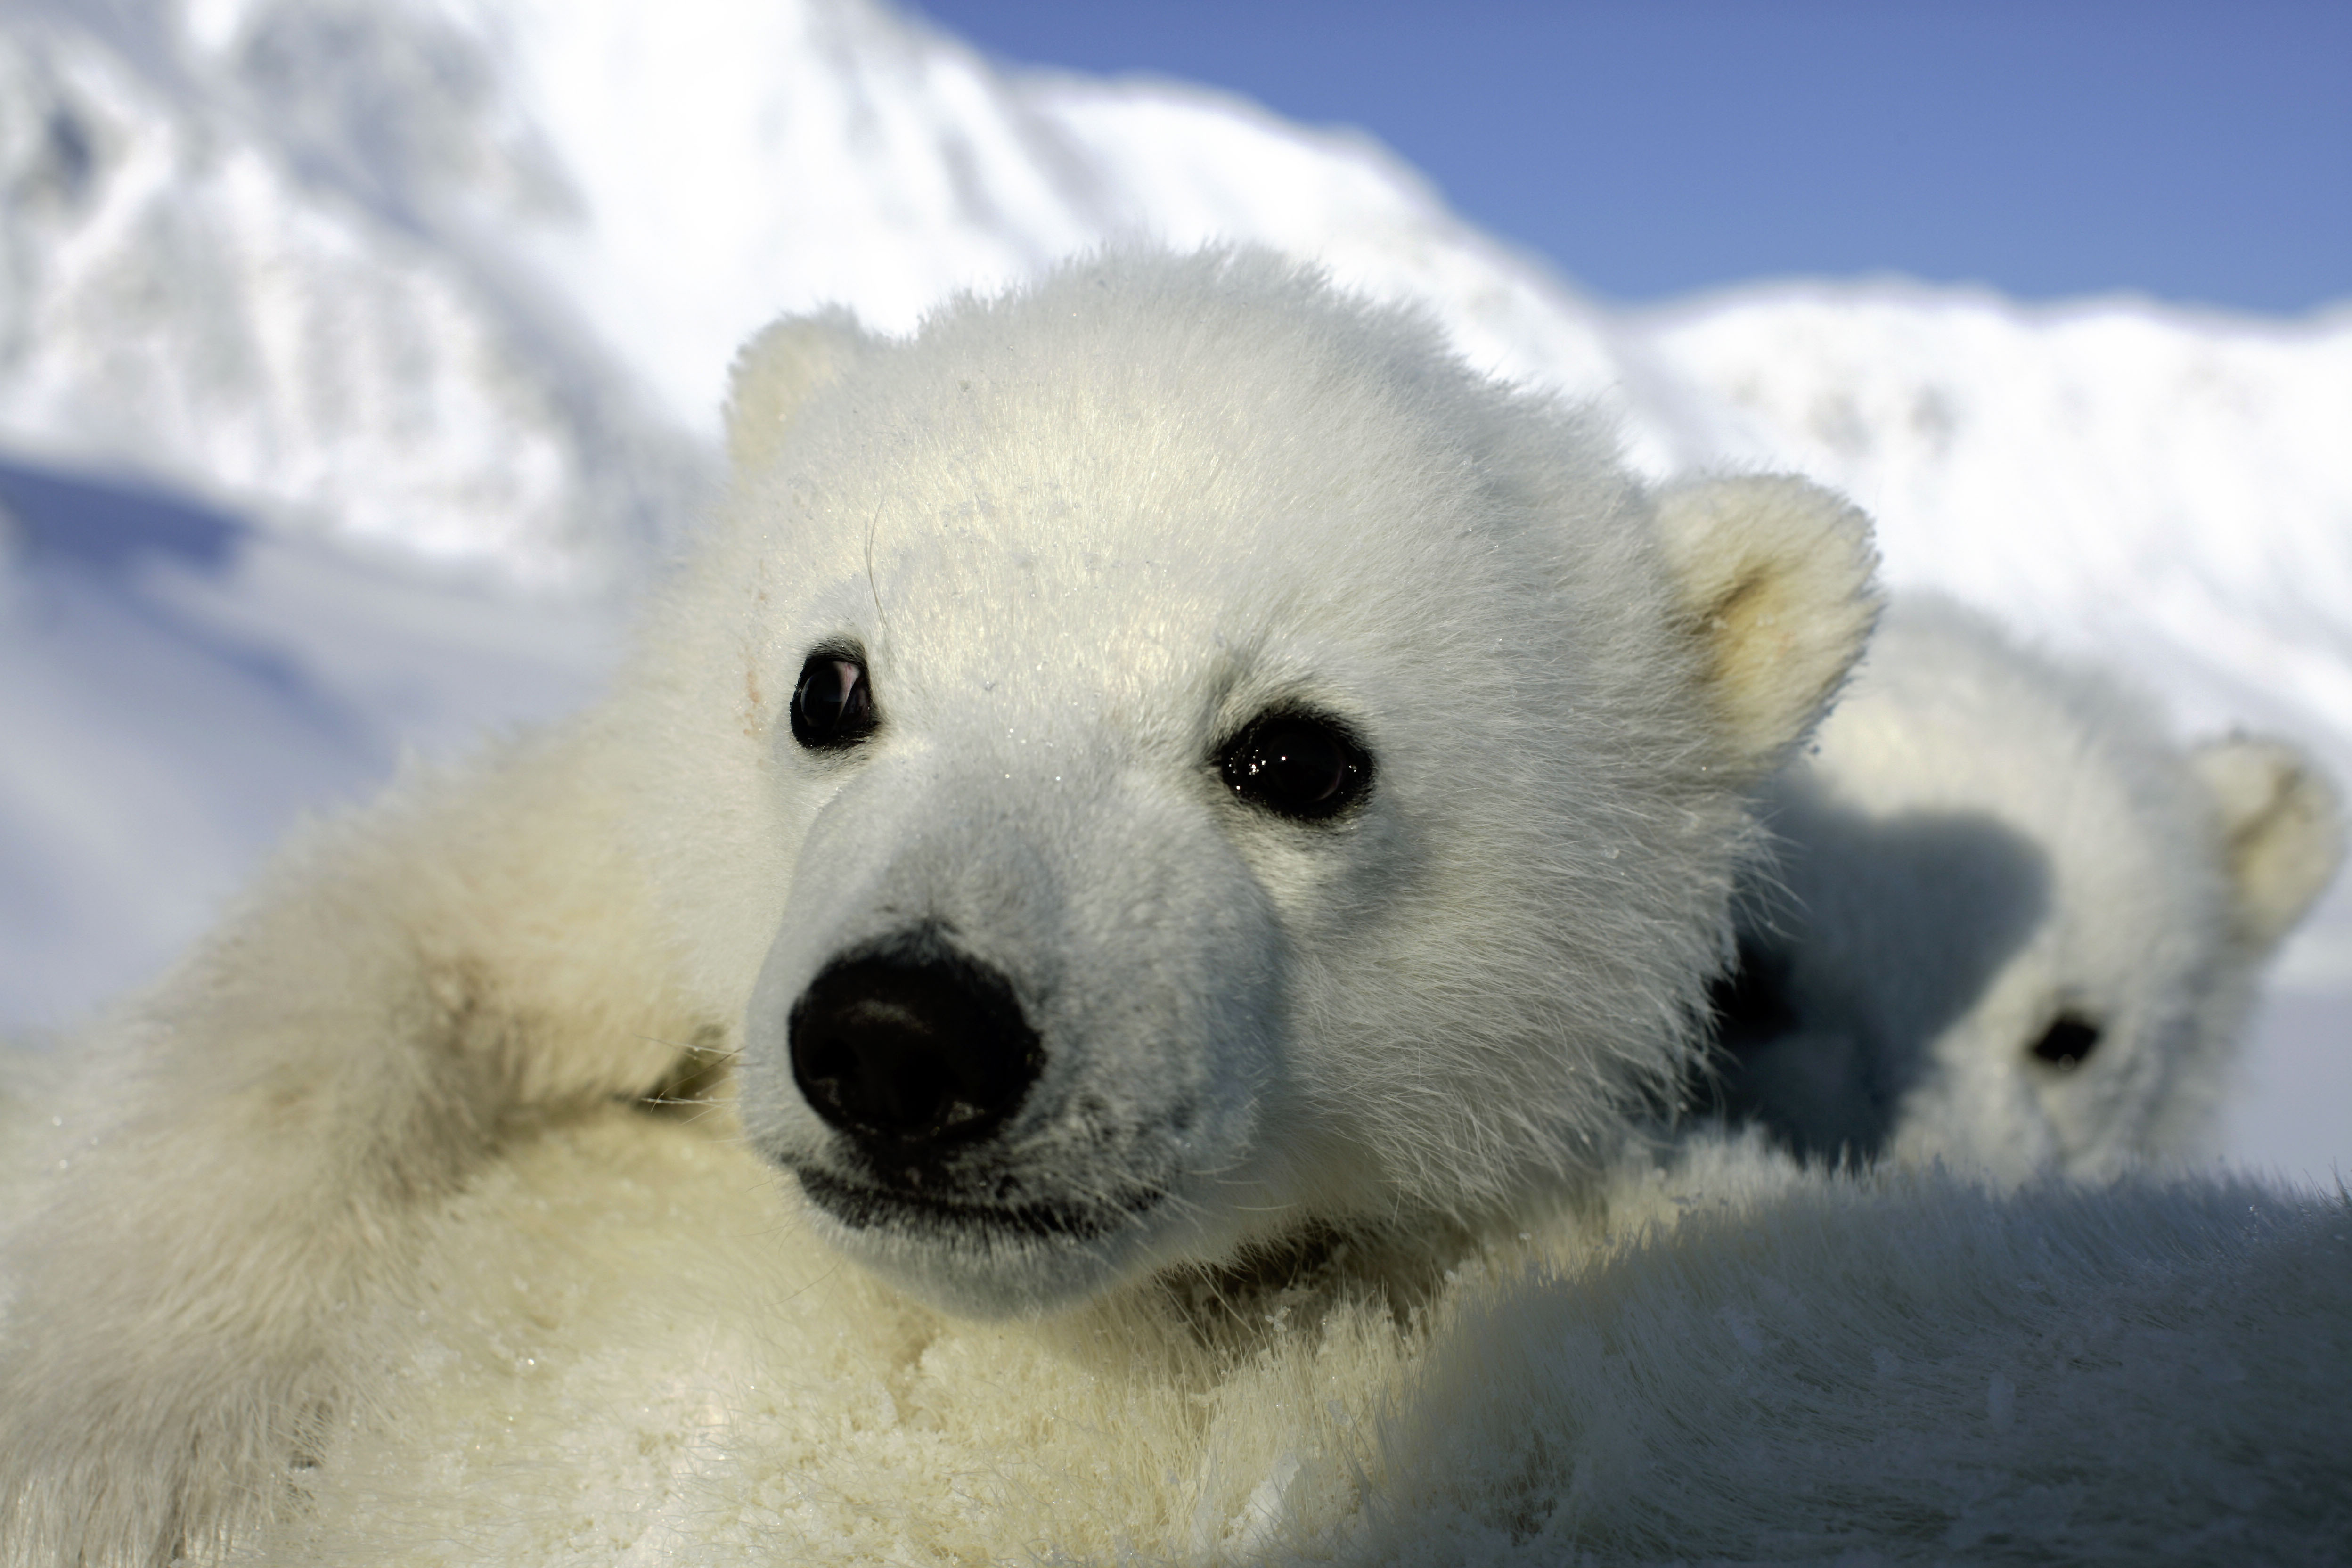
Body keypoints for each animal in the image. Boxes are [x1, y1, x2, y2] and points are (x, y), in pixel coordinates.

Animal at [0, 249, 1884, 1563]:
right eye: (828, 683)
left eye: (1295, 753)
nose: (906, 1036)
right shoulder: (606, 873)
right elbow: (368, 966)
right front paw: (122, 1451)